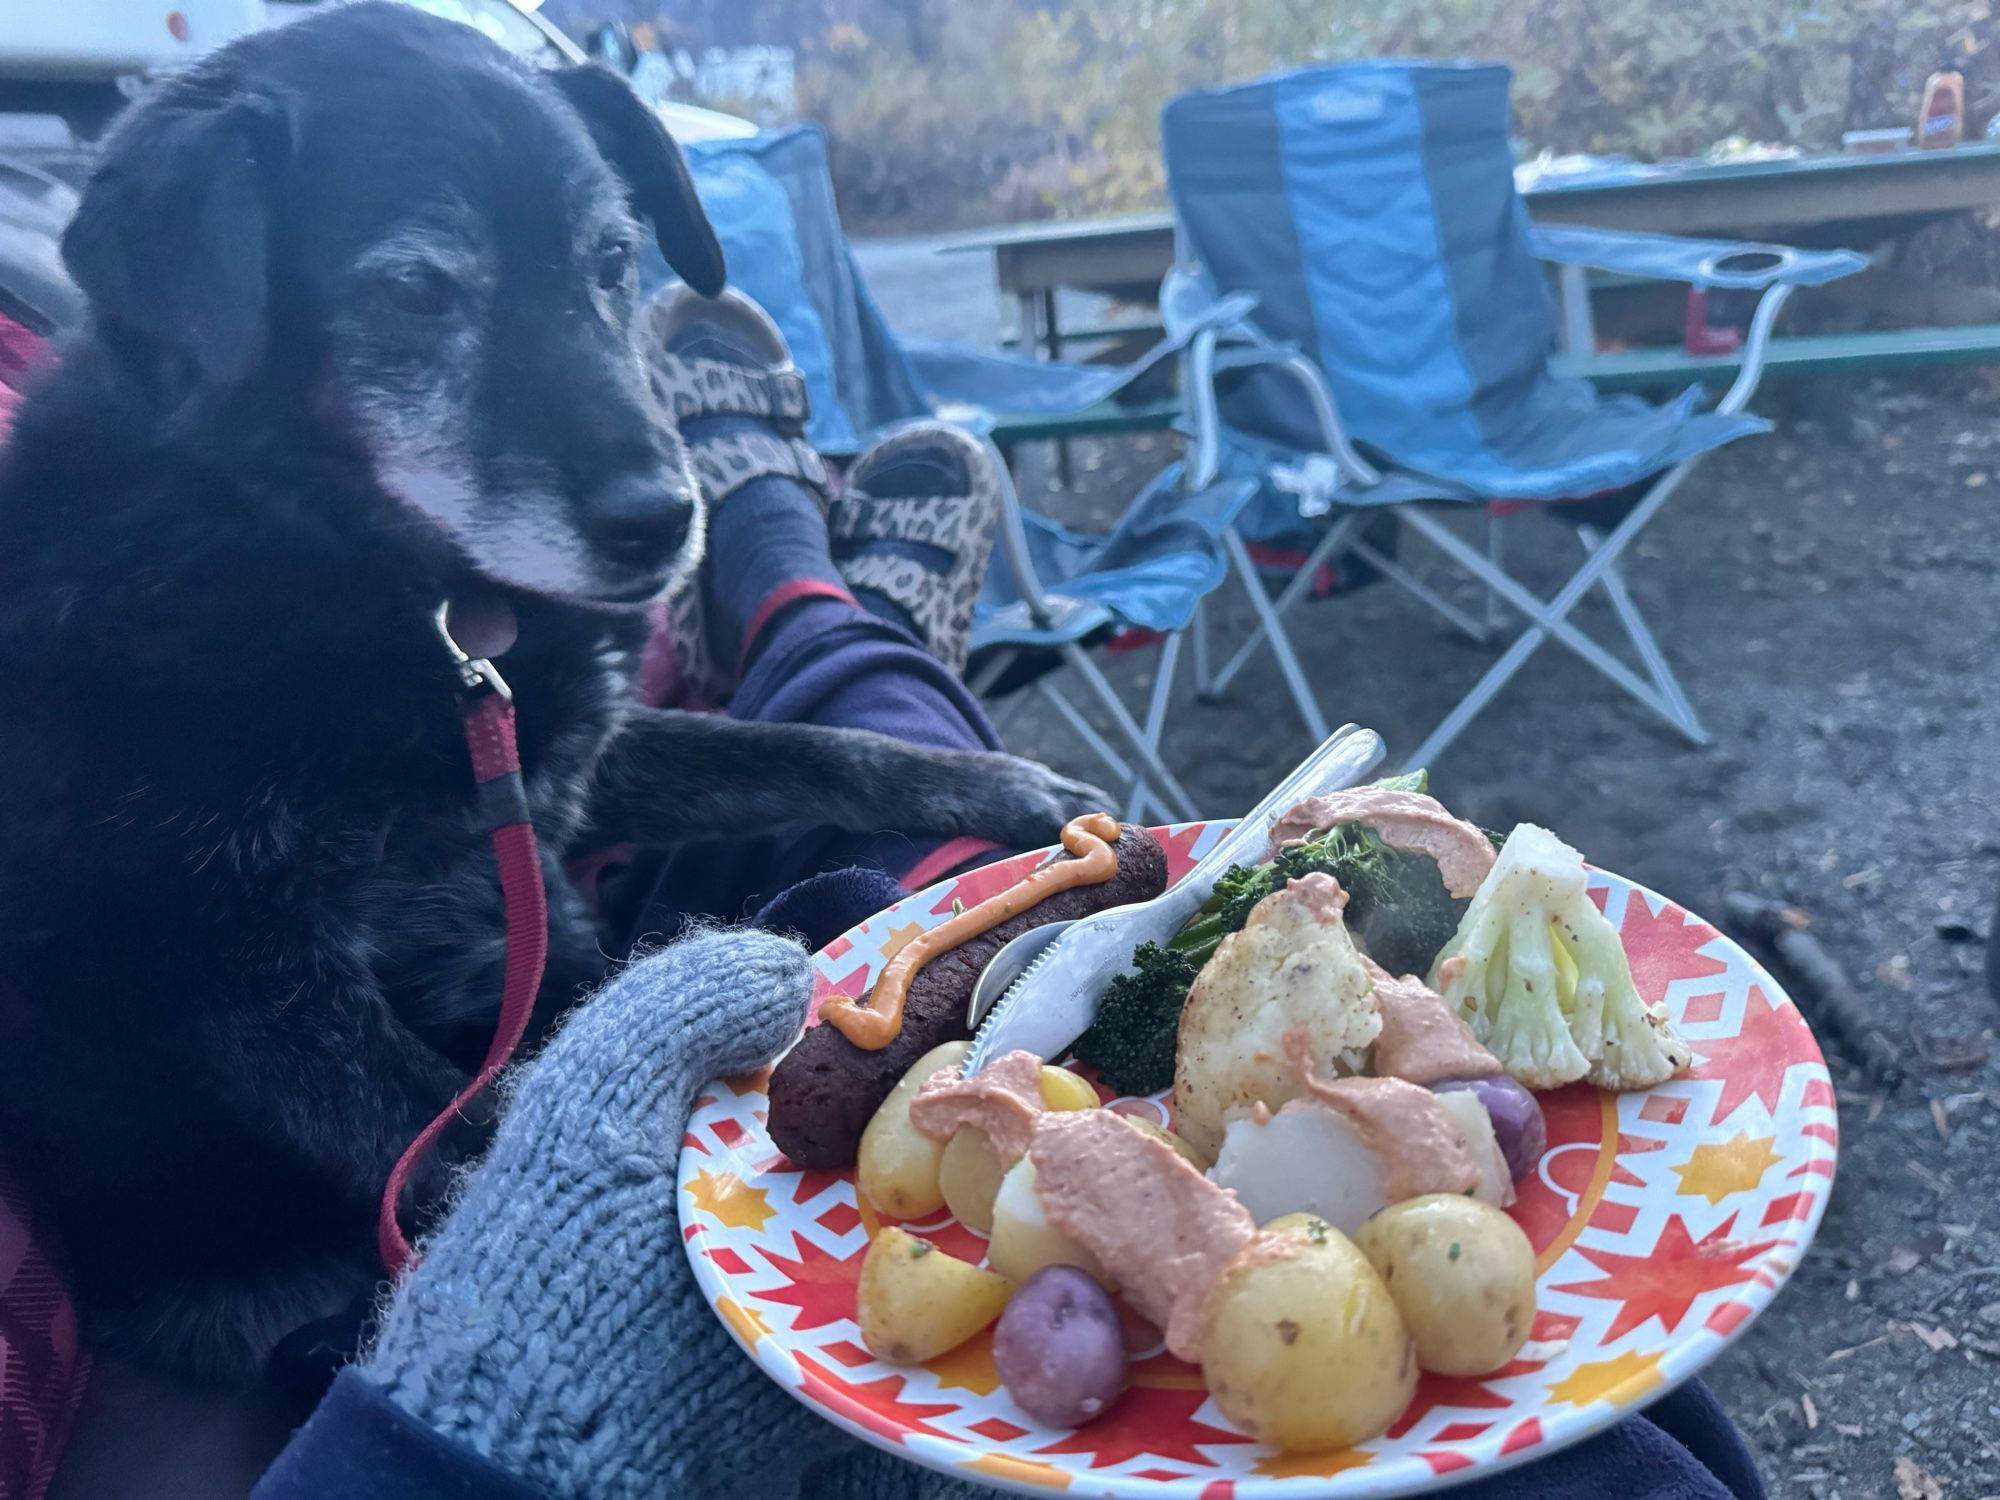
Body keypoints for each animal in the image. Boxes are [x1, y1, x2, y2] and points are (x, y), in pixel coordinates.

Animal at [0, 2, 1096, 1384]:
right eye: (413, 289)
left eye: (613, 259)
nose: (660, 522)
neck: (409, 601)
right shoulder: (226, 973)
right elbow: (437, 1126)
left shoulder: (575, 761)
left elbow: (816, 748)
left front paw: (1001, 785)